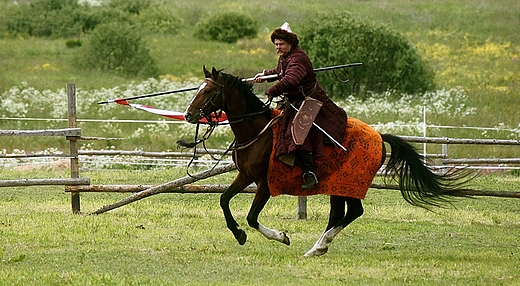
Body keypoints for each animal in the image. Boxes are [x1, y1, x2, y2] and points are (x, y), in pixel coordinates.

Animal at [184, 67, 476, 256]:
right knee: (341, 214)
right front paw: (238, 234)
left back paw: (318, 246)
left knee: (351, 212)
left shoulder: (265, 185)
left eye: (208, 90)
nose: (188, 114)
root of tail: (379, 136)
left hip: (347, 183)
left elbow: (252, 217)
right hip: (338, 185)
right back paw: (318, 247)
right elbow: (224, 200)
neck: (258, 131)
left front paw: (281, 237)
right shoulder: (244, 176)